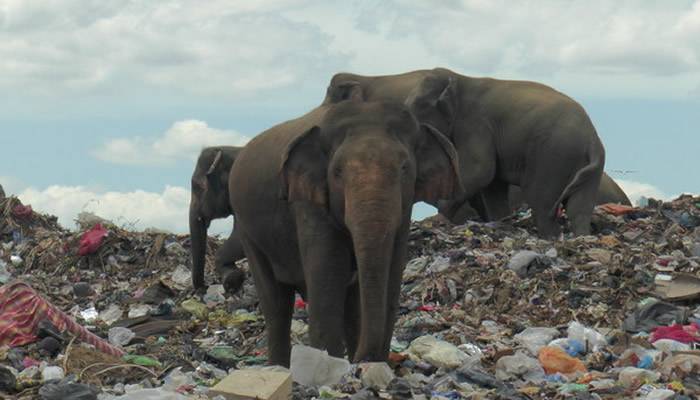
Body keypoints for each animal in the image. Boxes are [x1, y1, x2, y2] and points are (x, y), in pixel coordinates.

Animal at [227, 100, 462, 366]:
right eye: (337, 171)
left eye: (404, 168)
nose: (361, 360)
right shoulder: (309, 203)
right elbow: (329, 275)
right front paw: (329, 364)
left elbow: (392, 273)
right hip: (247, 230)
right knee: (276, 304)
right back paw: (279, 367)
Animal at [326, 68, 604, 238]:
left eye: (416, 109)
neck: (460, 79)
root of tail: (592, 137)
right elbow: (492, 184)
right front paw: (500, 222)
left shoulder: (476, 123)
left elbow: (482, 170)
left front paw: (442, 217)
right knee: (579, 207)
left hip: (552, 156)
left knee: (543, 203)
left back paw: (551, 237)